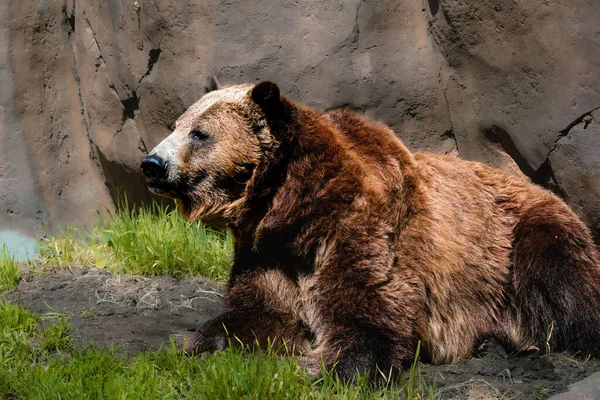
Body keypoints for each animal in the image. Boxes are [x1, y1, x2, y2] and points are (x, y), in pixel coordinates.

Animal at [142, 80, 600, 378]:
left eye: (200, 133)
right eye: (177, 125)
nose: (152, 163)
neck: (291, 209)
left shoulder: (364, 232)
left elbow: (366, 322)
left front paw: (314, 366)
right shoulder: (266, 251)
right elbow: (257, 311)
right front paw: (199, 344)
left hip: (524, 237)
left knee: (567, 287)